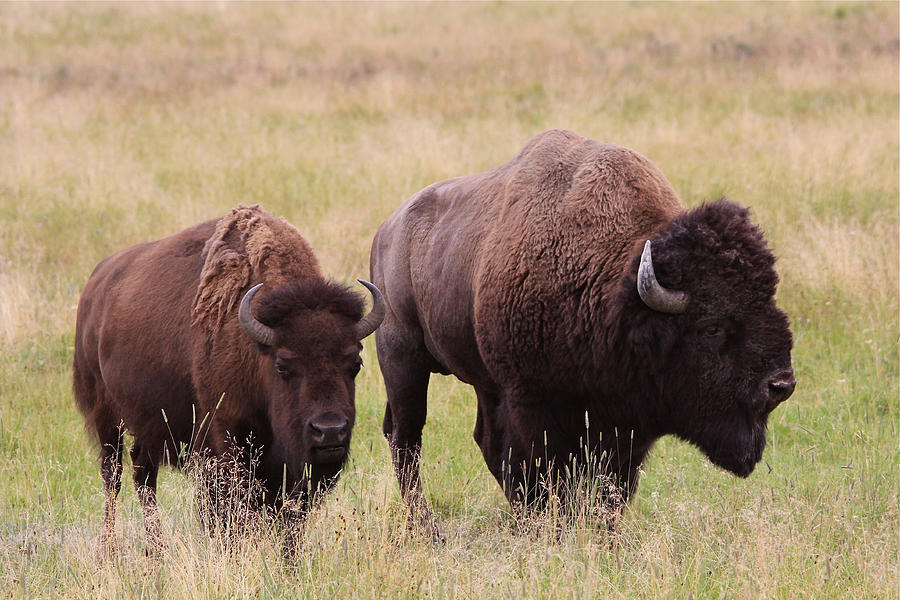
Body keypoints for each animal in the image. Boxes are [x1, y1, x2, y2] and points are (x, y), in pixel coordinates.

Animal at [74, 204, 384, 552]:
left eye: (355, 363)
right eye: (282, 366)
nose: (329, 431)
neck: (256, 351)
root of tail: (95, 285)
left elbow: (291, 521)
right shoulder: (223, 445)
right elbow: (226, 516)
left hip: (146, 424)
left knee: (143, 473)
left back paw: (156, 550)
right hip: (106, 417)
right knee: (112, 475)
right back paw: (110, 548)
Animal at [370, 130, 800, 528]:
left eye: (771, 302)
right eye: (711, 327)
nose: (781, 384)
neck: (613, 290)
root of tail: (387, 230)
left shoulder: (625, 427)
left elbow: (612, 487)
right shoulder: (532, 405)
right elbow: (545, 475)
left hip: (482, 381)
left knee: (479, 439)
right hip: (402, 356)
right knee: (406, 437)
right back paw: (428, 528)